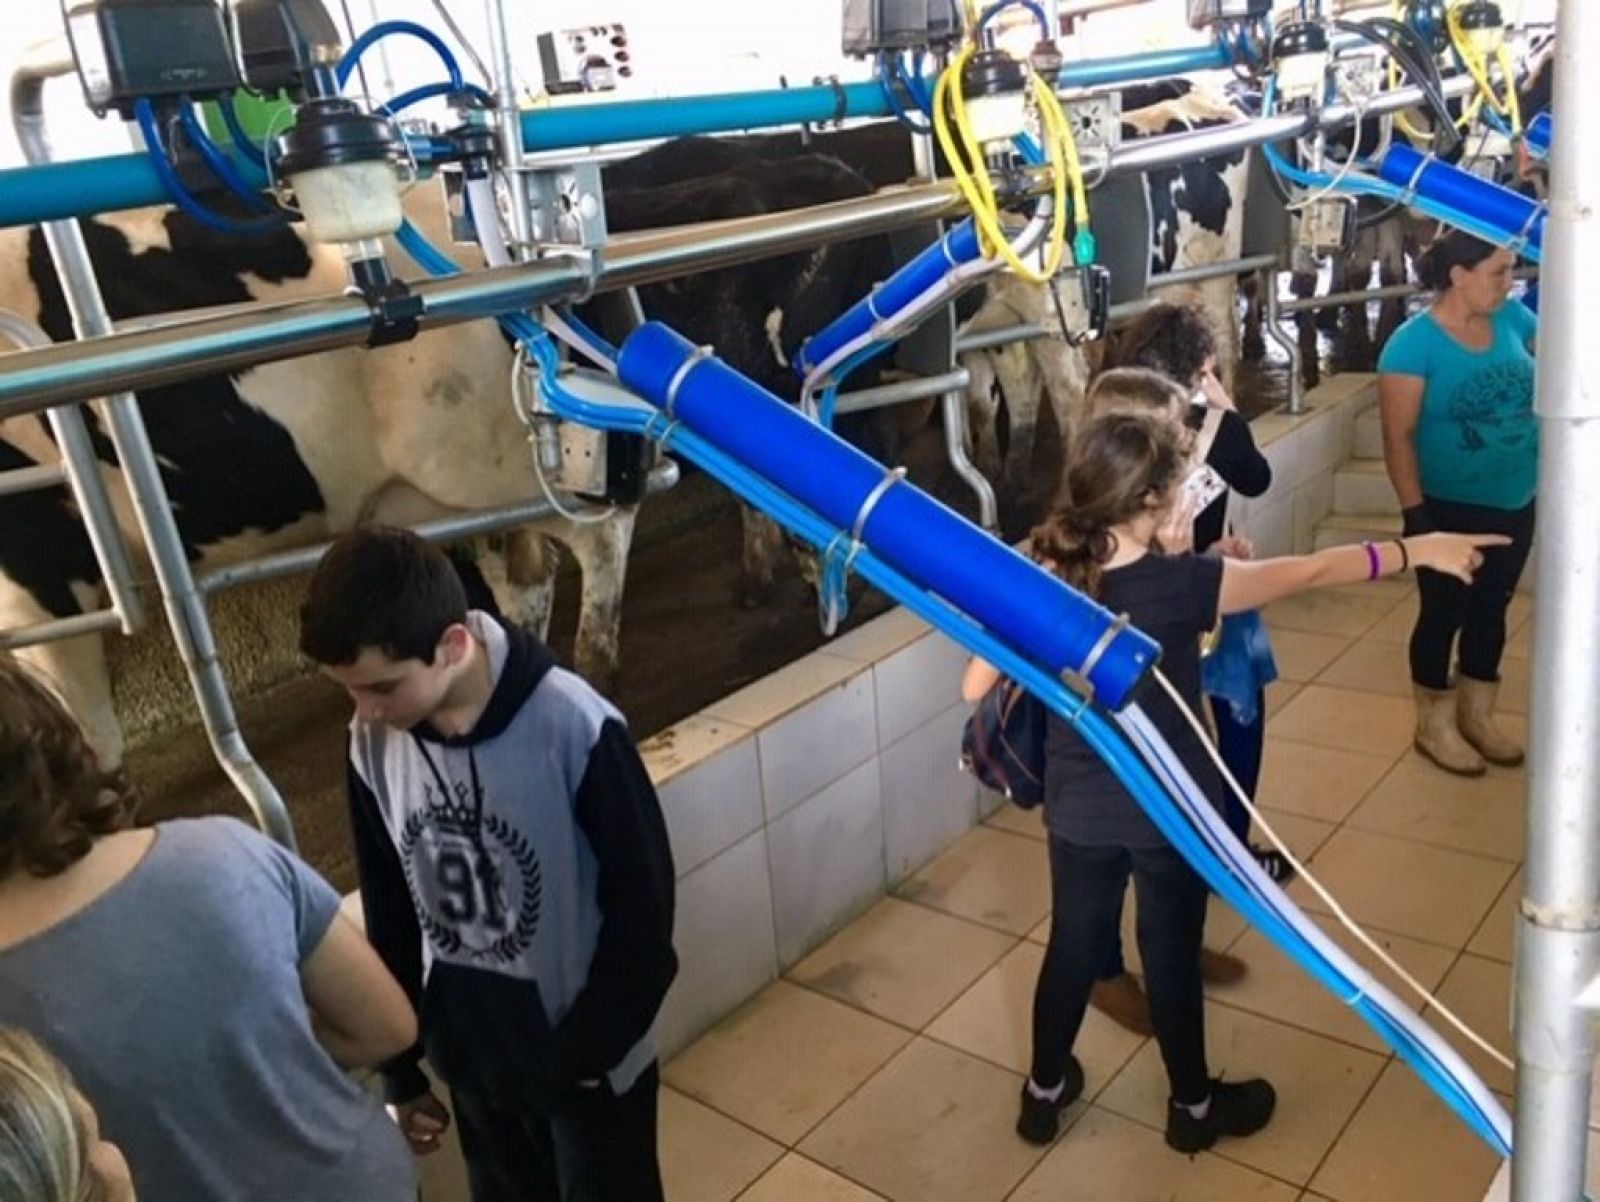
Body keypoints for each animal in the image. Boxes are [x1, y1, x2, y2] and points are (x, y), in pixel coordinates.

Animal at [0, 192, 636, 768]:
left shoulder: (40, 579)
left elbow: (86, 736)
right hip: (466, 494)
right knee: (525, 577)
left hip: (496, 461)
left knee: (602, 534)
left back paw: (595, 665)